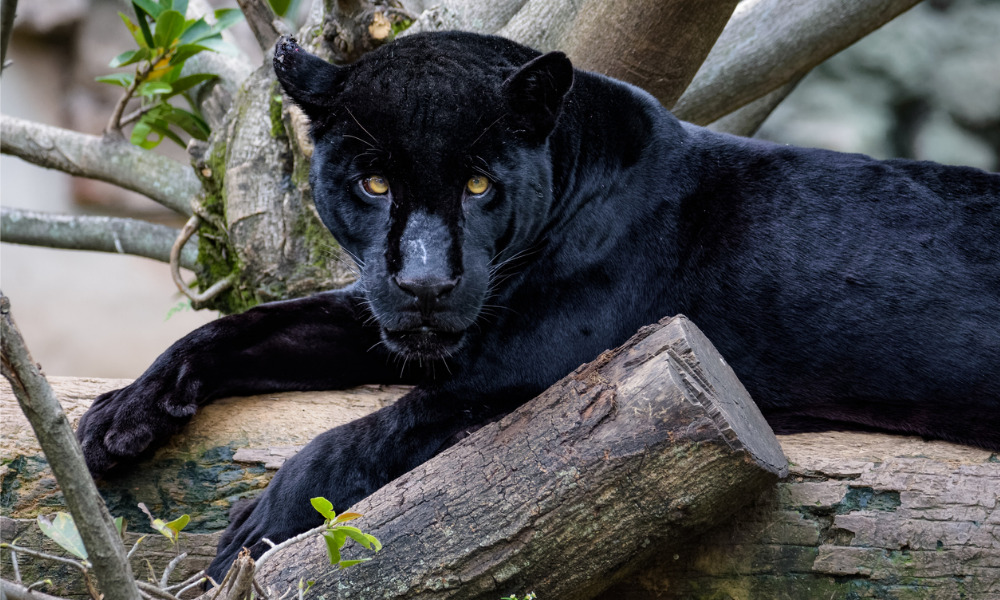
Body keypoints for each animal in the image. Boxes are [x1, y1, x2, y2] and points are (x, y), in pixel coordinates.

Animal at [76, 31, 1000, 576]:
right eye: (374, 183)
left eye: (479, 184)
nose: (425, 282)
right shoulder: (398, 323)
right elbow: (243, 327)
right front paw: (117, 419)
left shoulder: (536, 376)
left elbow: (369, 433)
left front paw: (257, 526)